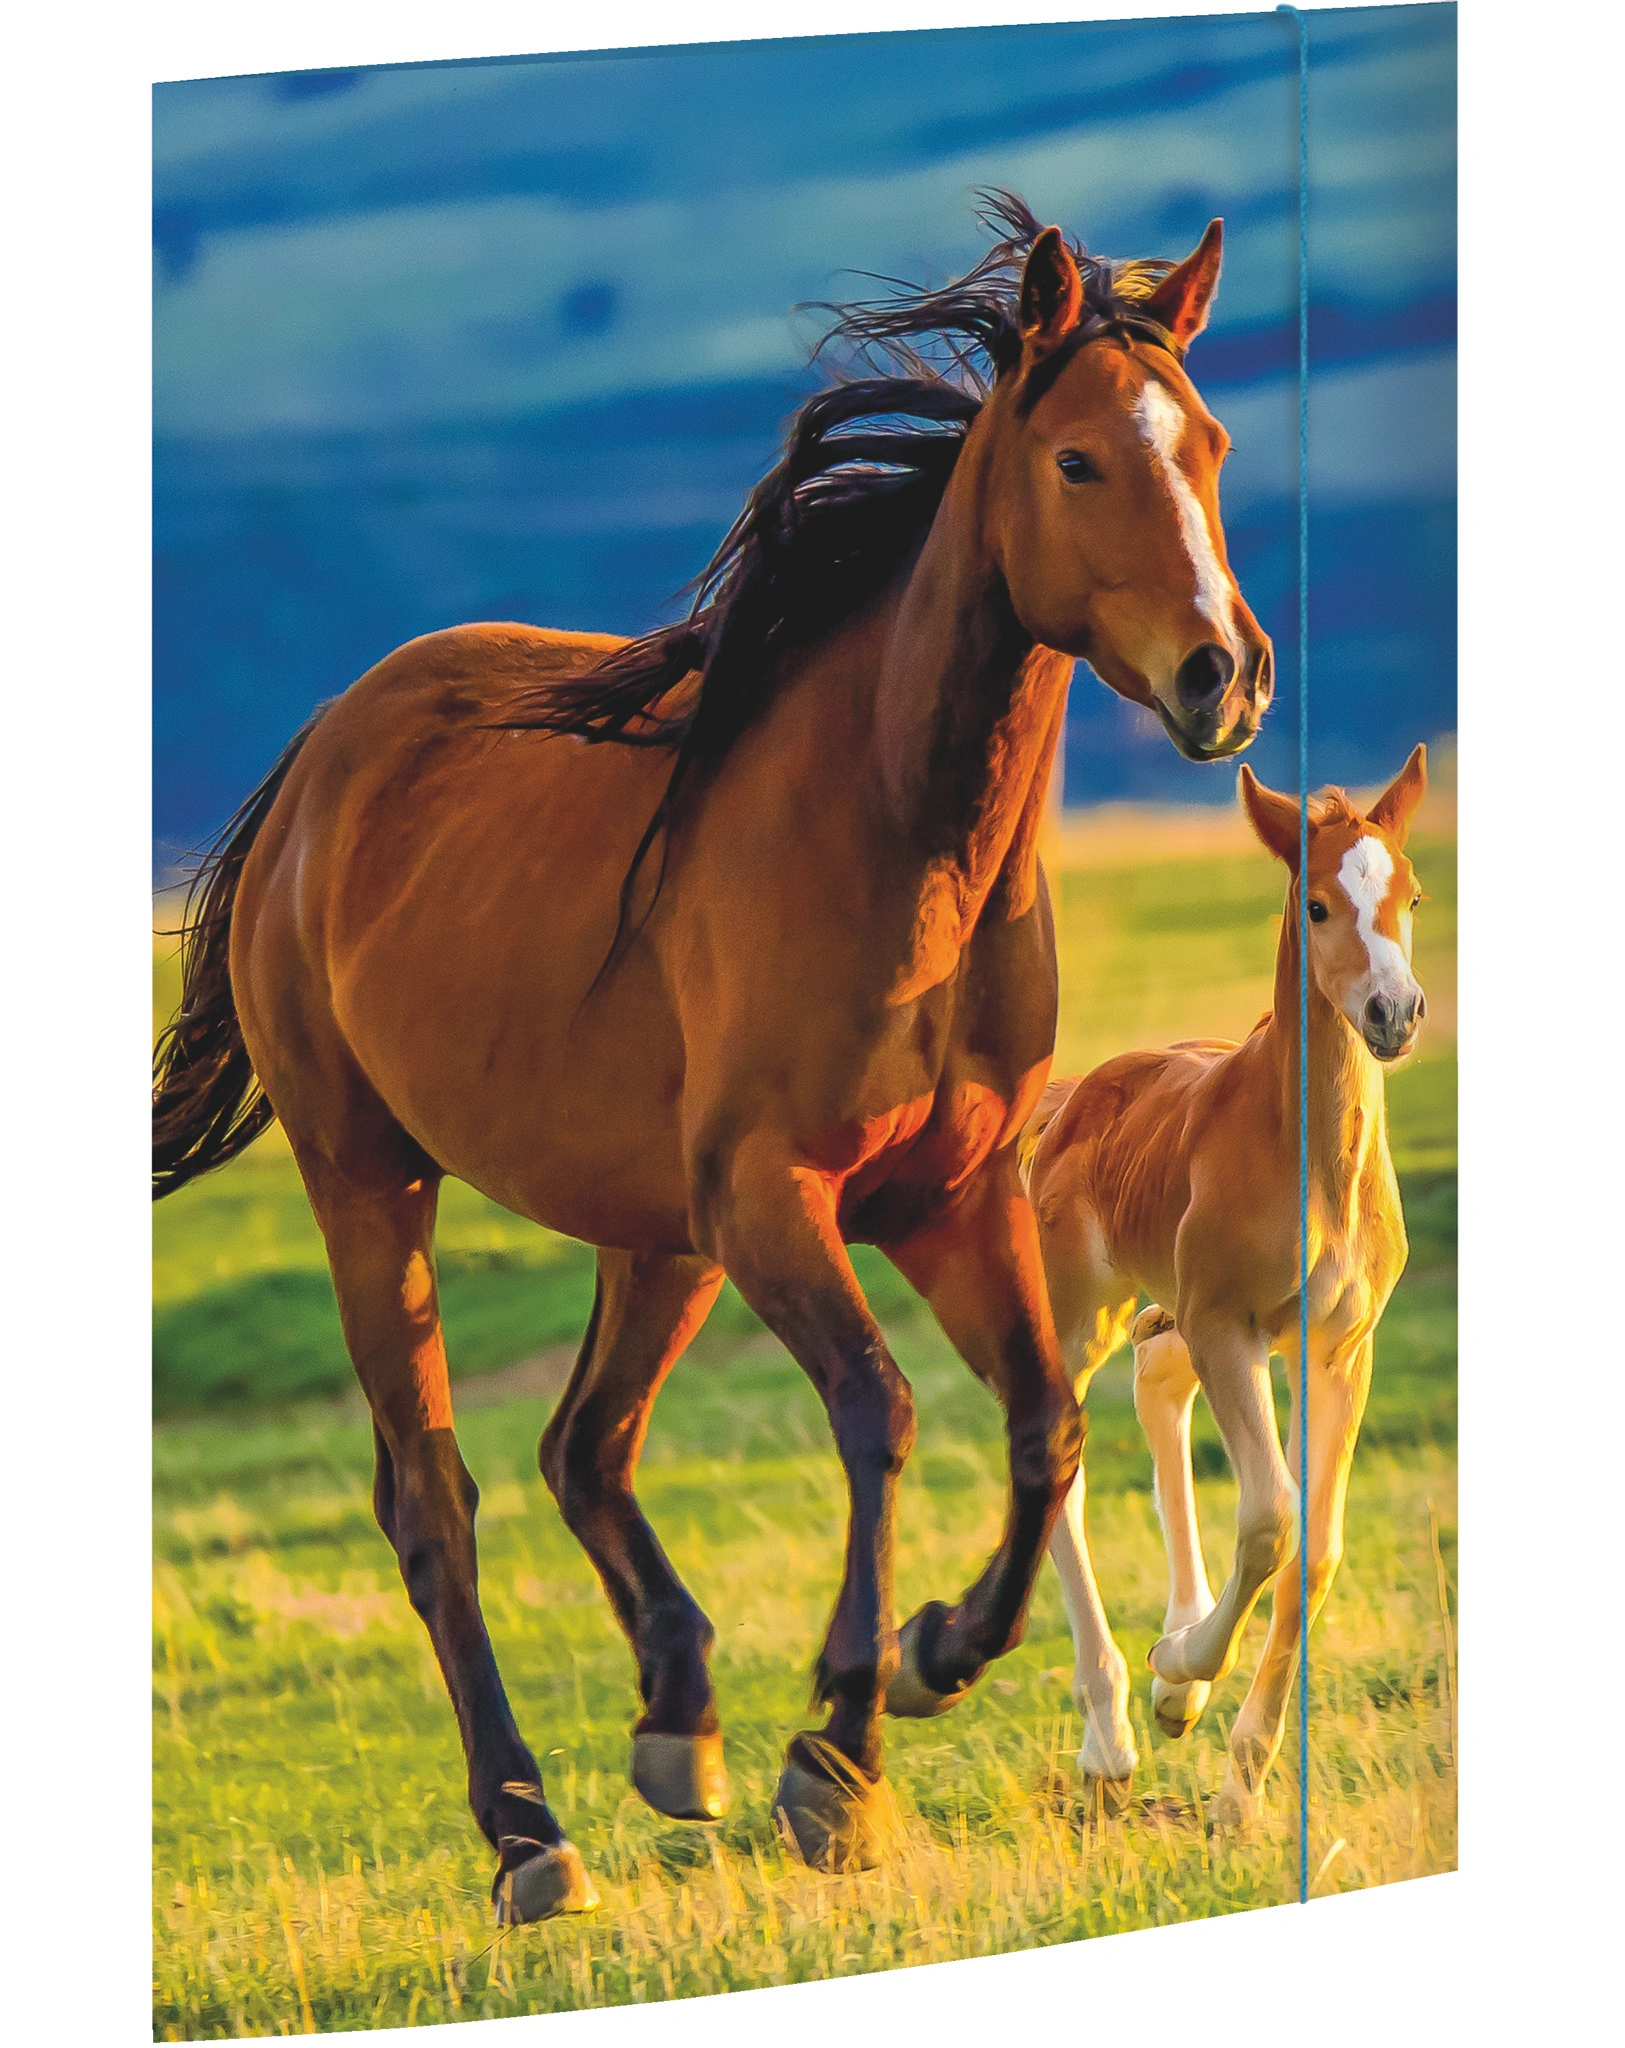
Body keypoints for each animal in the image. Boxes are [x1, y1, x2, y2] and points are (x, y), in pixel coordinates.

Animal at [151, 192, 1272, 1921]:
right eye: (1081, 459)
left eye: (1208, 444)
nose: (1225, 675)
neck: (894, 838)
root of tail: (320, 764)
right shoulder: (776, 1199)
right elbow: (880, 1413)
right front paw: (843, 1750)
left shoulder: (949, 1201)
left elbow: (1044, 1426)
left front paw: (934, 1656)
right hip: (374, 1184)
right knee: (436, 1496)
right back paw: (528, 1834)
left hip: (652, 1233)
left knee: (585, 1447)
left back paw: (678, 1725)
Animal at [1021, 746, 1428, 1826]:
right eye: (1318, 905)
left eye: (1411, 895)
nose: (1395, 1014)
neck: (1309, 1159)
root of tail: (1072, 1096)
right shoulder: (1228, 1326)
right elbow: (1271, 1518)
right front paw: (1177, 1670)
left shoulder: (1337, 1348)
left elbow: (1314, 1548)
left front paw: (1239, 1788)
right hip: (1083, 1311)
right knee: (1061, 1455)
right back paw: (1114, 1731)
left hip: (1168, 1314)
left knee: (1155, 1386)